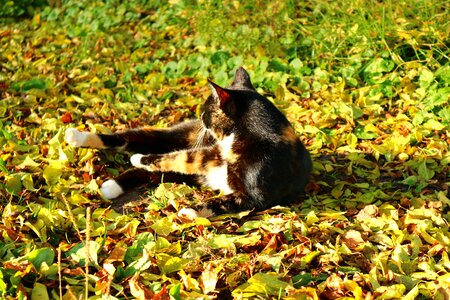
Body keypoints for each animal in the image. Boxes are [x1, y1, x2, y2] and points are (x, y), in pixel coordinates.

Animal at [65, 67, 312, 218]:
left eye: (206, 111)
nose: (200, 116)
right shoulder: (211, 153)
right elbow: (184, 157)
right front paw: (140, 159)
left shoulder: (254, 196)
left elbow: (219, 200)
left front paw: (189, 212)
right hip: (177, 136)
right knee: (132, 138)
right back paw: (77, 137)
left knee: (151, 169)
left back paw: (112, 185)